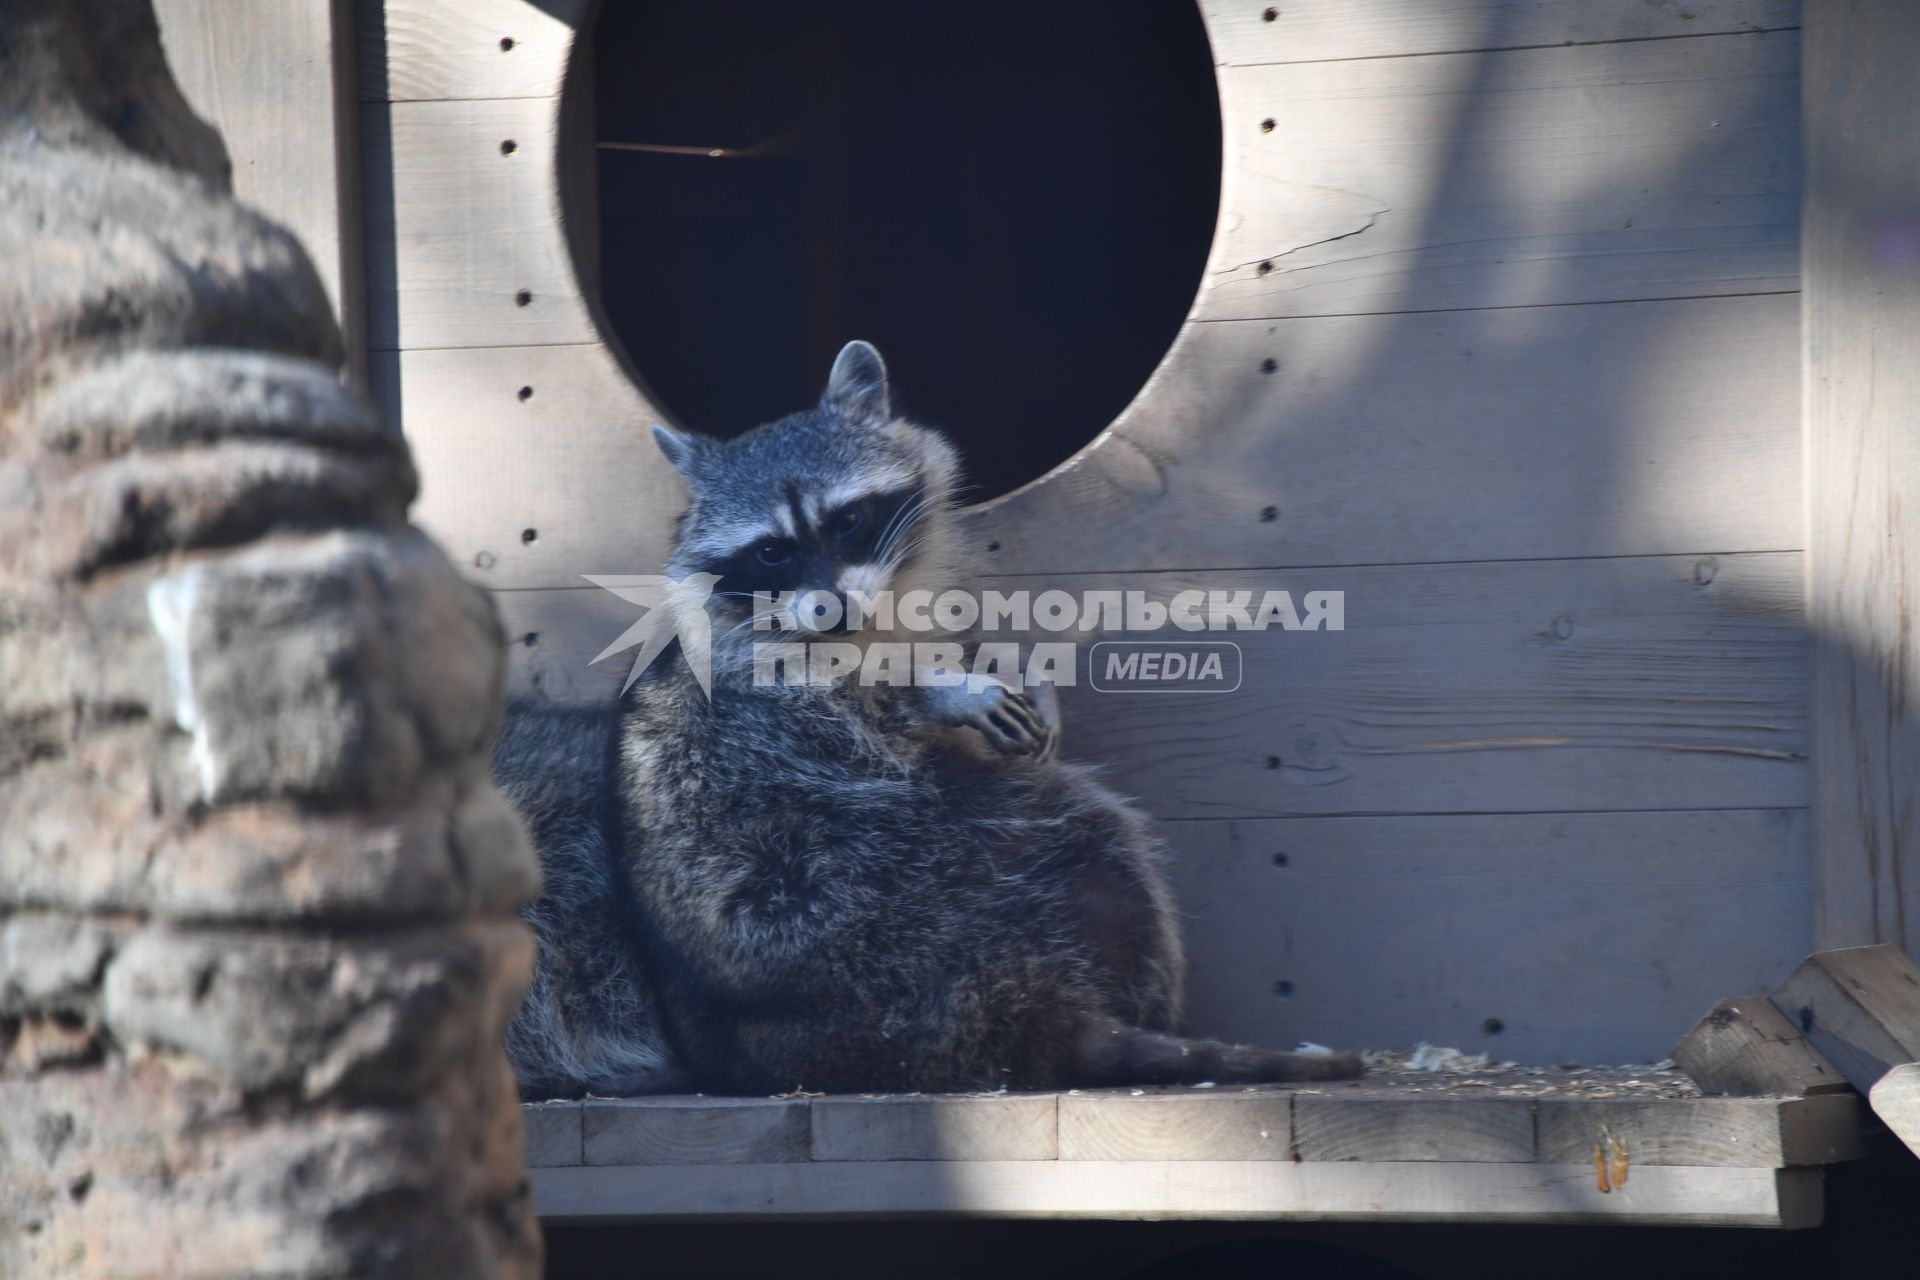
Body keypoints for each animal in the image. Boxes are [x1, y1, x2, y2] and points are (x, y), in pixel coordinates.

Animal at [495, 343, 1367, 1105]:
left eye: (846, 520)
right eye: (772, 551)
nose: (830, 608)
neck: (867, 621)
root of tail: (1018, 994)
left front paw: (1016, 666)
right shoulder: (756, 698)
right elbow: (851, 712)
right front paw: (941, 690)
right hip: (894, 893)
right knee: (1082, 822)